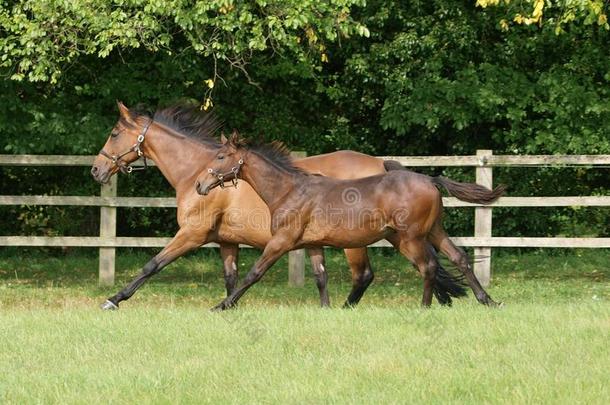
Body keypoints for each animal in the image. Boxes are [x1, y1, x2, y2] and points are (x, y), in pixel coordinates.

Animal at [92, 102, 392, 308]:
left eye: (115, 133)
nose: (96, 169)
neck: (195, 171)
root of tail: (381, 165)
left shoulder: (191, 234)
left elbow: (152, 265)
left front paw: (113, 300)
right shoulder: (227, 241)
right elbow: (231, 278)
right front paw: (230, 307)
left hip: (352, 242)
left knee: (362, 276)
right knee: (327, 276)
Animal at [196, 133, 504, 310]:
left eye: (221, 156)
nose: (200, 185)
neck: (289, 190)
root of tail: (430, 179)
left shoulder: (281, 242)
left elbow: (254, 273)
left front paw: (222, 305)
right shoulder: (312, 244)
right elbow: (321, 276)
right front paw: (326, 309)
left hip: (411, 237)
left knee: (427, 266)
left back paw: (424, 307)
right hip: (433, 232)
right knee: (459, 257)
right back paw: (488, 300)